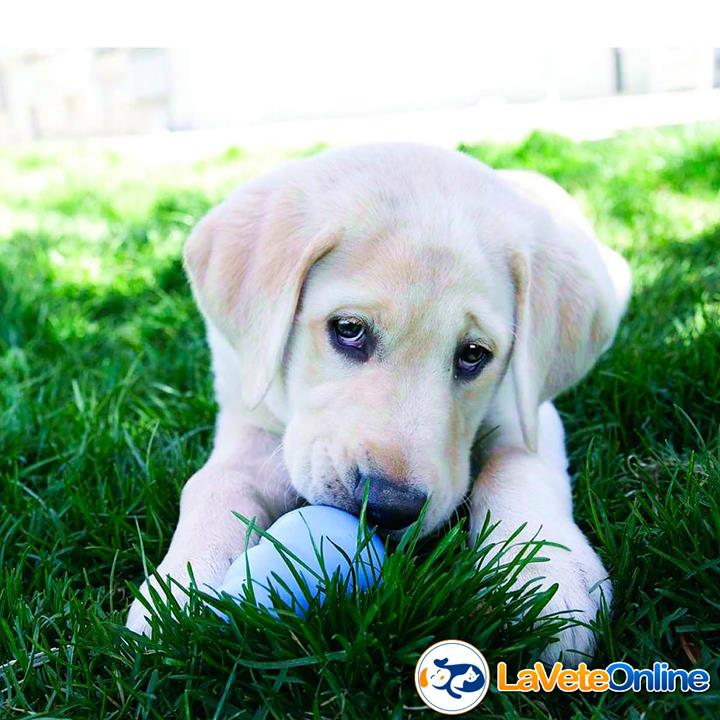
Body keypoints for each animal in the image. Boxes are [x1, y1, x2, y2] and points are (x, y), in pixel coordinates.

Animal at [126, 143, 631, 664]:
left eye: (473, 354)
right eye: (349, 329)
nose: (390, 508)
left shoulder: (524, 408)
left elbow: (517, 466)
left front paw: (545, 579)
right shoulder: (247, 409)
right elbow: (214, 481)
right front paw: (184, 585)